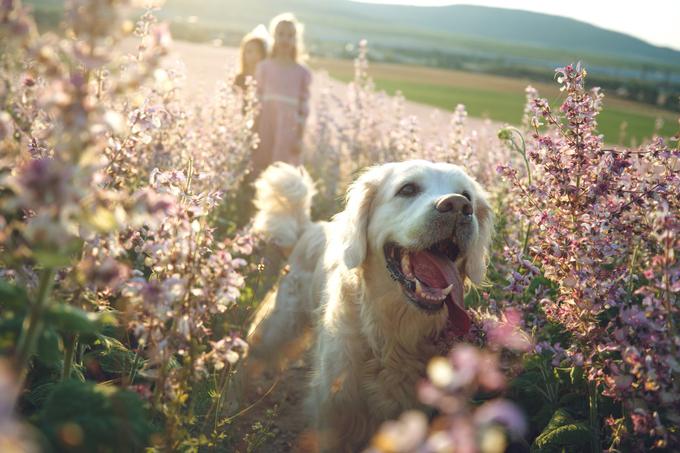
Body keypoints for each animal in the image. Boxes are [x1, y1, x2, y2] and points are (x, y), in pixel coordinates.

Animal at [247, 161, 492, 450]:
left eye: (467, 197)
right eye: (407, 189)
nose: (457, 206)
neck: (395, 335)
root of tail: (309, 227)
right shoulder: (335, 413)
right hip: (279, 326)